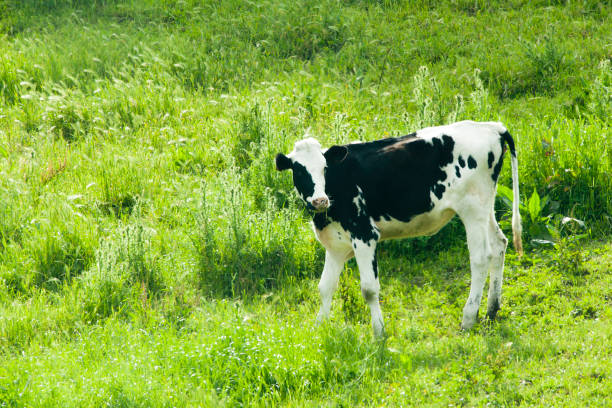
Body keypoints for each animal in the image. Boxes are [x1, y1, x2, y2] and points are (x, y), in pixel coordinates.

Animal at [278, 119, 520, 336]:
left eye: (325, 168)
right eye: (299, 171)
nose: (320, 200)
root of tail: (492, 127)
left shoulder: (365, 235)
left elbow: (369, 289)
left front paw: (379, 333)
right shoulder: (336, 244)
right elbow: (325, 287)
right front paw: (320, 328)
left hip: (472, 209)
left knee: (480, 258)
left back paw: (468, 318)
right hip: (485, 206)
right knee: (499, 244)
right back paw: (491, 310)